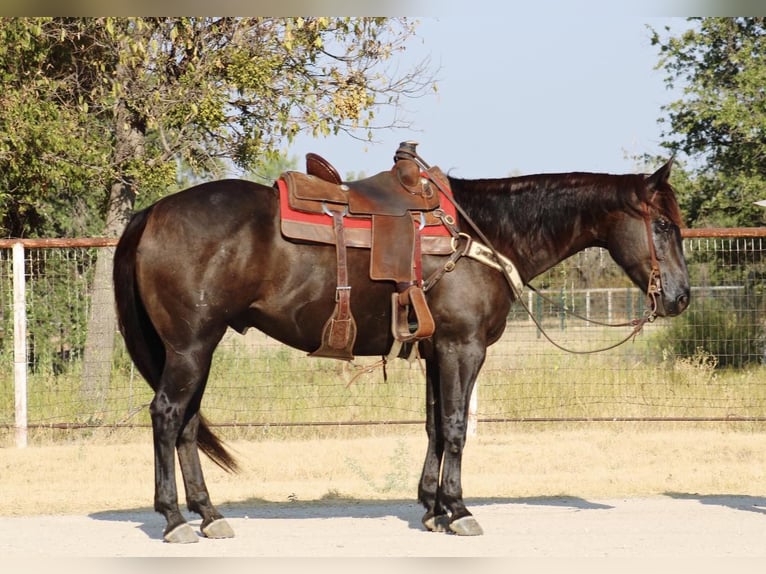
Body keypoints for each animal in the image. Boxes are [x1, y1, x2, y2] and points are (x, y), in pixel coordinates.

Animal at [115, 153, 696, 544]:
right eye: (663, 224)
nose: (681, 297)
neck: (482, 236)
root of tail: (152, 212)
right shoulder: (464, 348)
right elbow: (457, 427)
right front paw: (459, 510)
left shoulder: (438, 352)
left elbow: (436, 425)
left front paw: (433, 509)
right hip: (191, 346)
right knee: (167, 416)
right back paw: (174, 519)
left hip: (198, 348)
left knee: (188, 423)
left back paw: (209, 515)